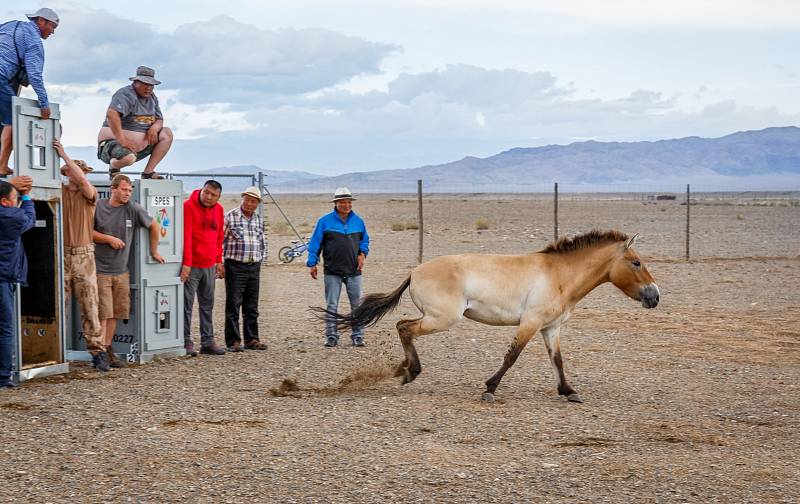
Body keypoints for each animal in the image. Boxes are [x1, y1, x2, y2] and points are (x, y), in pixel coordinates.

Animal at [316, 231, 660, 402]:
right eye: (637, 262)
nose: (655, 296)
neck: (559, 275)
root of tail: (414, 272)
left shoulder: (550, 328)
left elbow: (558, 361)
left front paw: (569, 392)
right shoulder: (530, 324)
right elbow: (511, 357)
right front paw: (489, 390)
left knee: (404, 328)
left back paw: (404, 370)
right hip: (442, 319)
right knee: (404, 327)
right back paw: (410, 372)